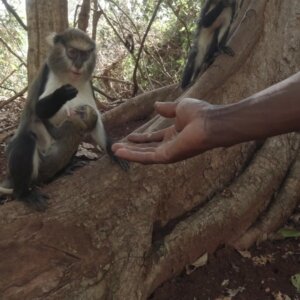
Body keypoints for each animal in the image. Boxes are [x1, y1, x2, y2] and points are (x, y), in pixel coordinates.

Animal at [0, 28, 127, 211]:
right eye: (72, 52)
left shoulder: (87, 89)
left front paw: (113, 150)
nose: (79, 65)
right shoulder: (48, 75)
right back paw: (24, 193)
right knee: (26, 140)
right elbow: (39, 110)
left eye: (84, 55)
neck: (69, 77)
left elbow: (95, 119)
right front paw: (62, 93)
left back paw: (62, 171)